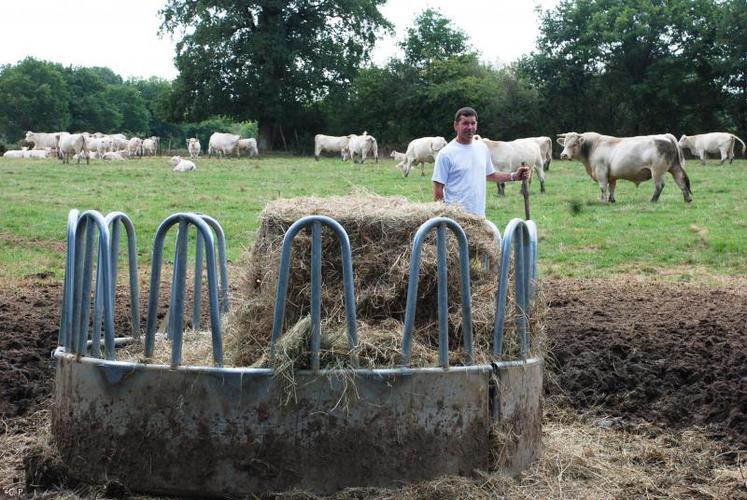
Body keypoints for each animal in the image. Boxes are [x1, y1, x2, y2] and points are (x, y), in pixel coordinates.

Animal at [560, 133, 692, 205]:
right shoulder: (612, 176)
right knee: (681, 182)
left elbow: (603, 187)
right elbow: (612, 188)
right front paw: (611, 200)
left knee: (659, 185)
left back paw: (653, 200)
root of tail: (665, 136)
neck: (593, 147)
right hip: (675, 167)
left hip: (657, 171)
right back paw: (687, 199)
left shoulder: (601, 172)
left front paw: (603, 201)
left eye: (574, 144)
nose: (563, 155)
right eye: (564, 144)